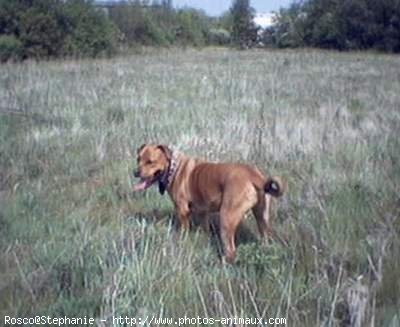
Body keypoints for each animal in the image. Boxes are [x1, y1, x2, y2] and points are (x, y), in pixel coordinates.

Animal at [134, 145, 284, 262]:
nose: (135, 172)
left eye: (150, 161)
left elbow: (184, 231)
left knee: (231, 250)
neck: (173, 168)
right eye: (138, 159)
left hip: (227, 218)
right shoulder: (203, 212)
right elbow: (204, 229)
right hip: (262, 218)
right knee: (264, 236)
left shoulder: (182, 211)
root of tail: (254, 175)